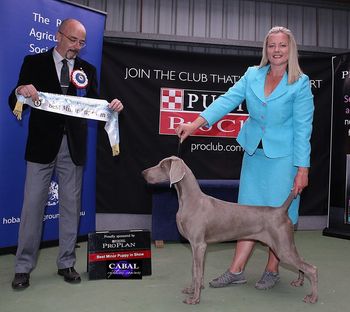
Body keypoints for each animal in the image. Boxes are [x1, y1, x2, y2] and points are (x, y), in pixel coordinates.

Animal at [142, 156, 318, 304]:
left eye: (162, 166)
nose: (143, 173)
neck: (190, 200)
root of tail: (281, 210)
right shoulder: (194, 246)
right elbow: (194, 270)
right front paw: (192, 290)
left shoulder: (199, 245)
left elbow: (198, 272)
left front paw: (195, 299)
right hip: (284, 244)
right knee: (303, 261)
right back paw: (299, 281)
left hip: (282, 248)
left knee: (312, 268)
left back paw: (313, 297)